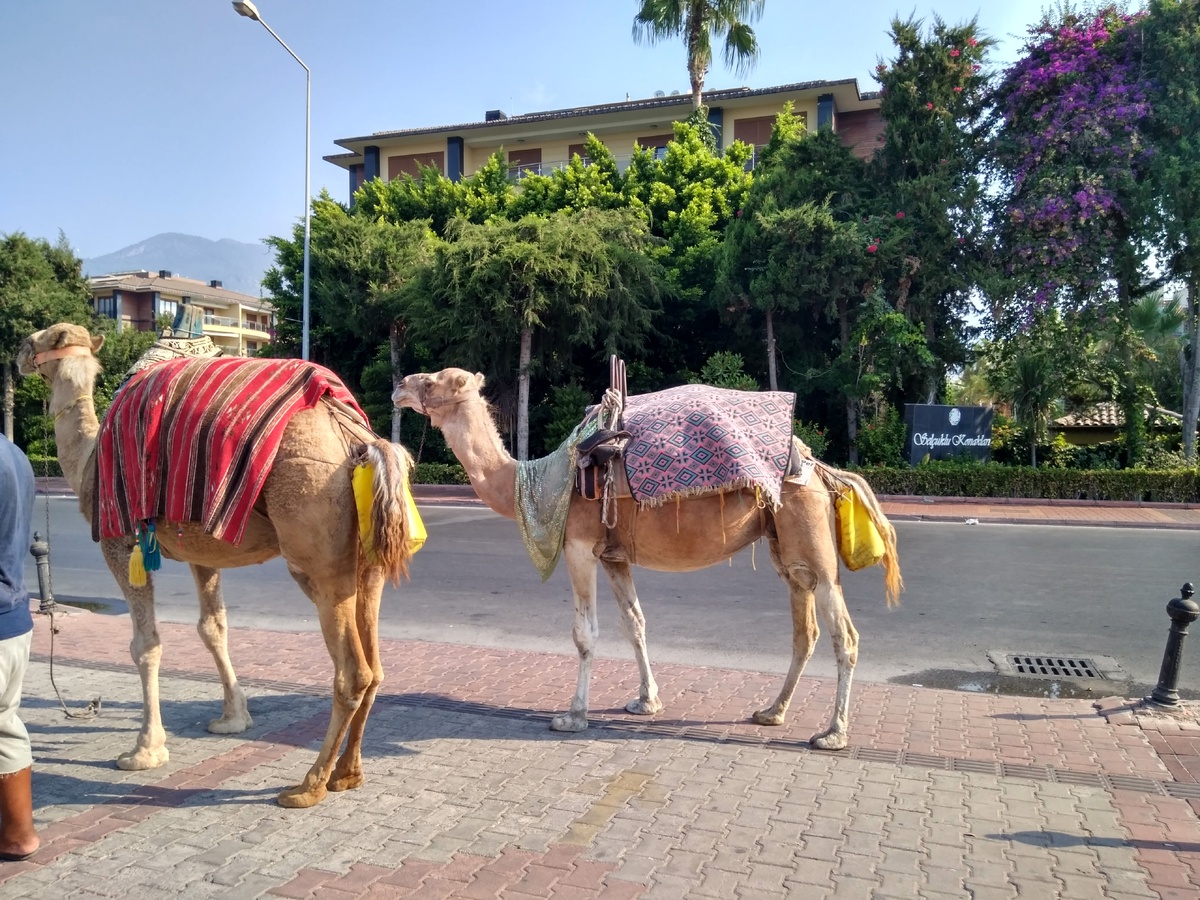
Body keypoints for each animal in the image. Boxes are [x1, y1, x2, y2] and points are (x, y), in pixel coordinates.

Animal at [17, 326, 422, 811]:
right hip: (368, 564)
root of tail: (359, 440)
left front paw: (144, 750)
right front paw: (233, 717)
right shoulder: (201, 551)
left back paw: (308, 785)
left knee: (353, 671)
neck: (88, 459)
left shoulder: (120, 542)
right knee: (375, 667)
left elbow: (145, 644)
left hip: (317, 555)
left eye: (39, 340)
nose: (18, 354)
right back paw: (347, 774)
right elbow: (213, 627)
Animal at [393, 369, 902, 748]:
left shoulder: (578, 547)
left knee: (844, 634)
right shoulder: (614, 556)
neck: (540, 479)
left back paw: (832, 733)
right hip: (785, 548)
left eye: (434, 382)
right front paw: (645, 702)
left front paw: (573, 715)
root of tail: (820, 469)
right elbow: (634, 623)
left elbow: (585, 633)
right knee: (805, 630)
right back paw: (772, 712)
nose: (399, 385)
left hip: (812, 544)